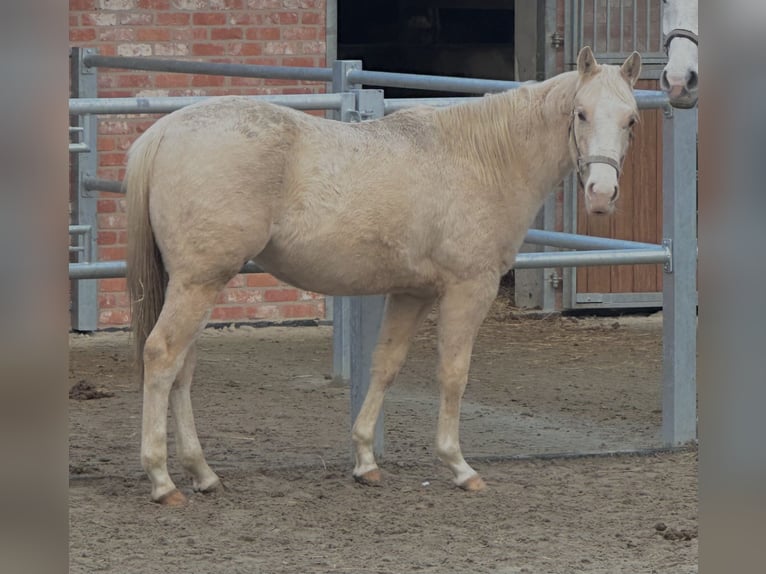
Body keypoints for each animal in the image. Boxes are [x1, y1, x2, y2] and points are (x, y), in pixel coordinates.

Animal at [126, 47, 640, 506]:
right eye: (580, 114)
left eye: (631, 120)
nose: (602, 194)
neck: (482, 158)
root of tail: (166, 130)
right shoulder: (469, 288)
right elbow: (453, 373)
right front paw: (459, 466)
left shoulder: (411, 293)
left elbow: (385, 365)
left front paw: (366, 461)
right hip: (200, 282)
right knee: (162, 357)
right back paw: (162, 481)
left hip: (194, 284)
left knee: (183, 370)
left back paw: (202, 474)